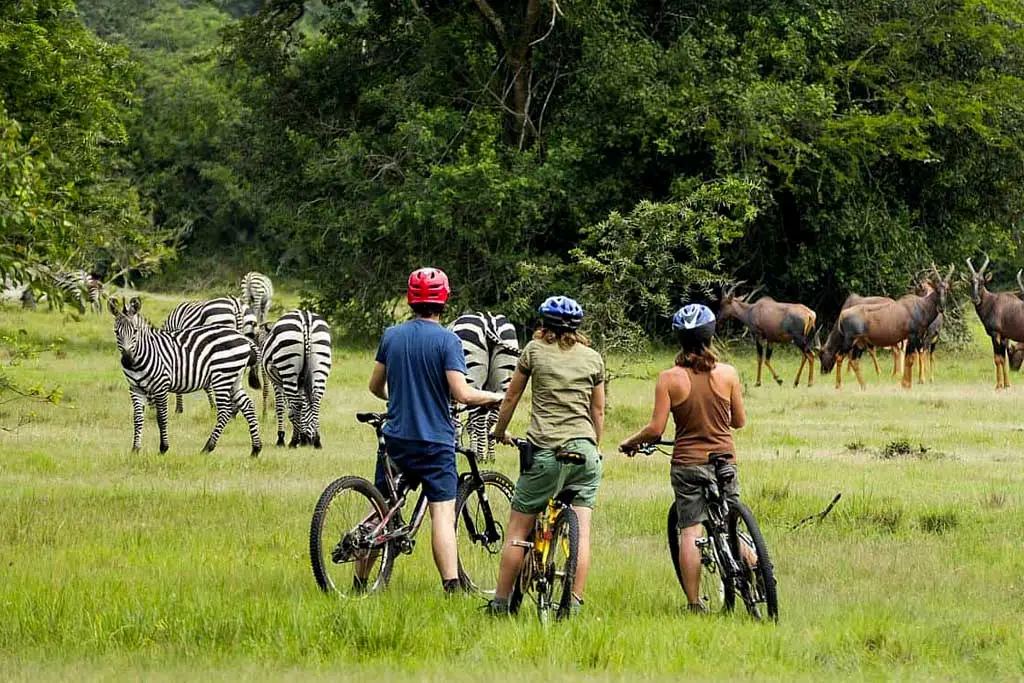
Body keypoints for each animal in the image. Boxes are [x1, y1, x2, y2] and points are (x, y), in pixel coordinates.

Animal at [108, 297, 262, 456]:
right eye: (116, 332)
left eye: (135, 331)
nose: (127, 360)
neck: (145, 353)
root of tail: (242, 337)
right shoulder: (135, 389)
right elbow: (137, 418)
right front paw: (135, 449)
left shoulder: (161, 386)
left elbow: (161, 417)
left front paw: (163, 448)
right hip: (234, 378)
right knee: (248, 405)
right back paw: (255, 449)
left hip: (222, 377)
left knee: (225, 411)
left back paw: (208, 447)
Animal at [259, 309, 332, 448]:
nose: (309, 440)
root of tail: (305, 317)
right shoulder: (301, 383)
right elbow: (301, 406)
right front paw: (303, 436)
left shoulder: (277, 382)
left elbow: (282, 407)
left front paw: (282, 438)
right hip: (320, 365)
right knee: (315, 400)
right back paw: (317, 440)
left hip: (288, 367)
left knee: (297, 403)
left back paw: (294, 441)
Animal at [447, 312, 519, 462]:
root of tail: (488, 321)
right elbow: (468, 424)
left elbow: (456, 421)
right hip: (502, 382)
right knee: (491, 418)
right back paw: (490, 457)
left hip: (472, 378)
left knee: (479, 418)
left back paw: (480, 457)